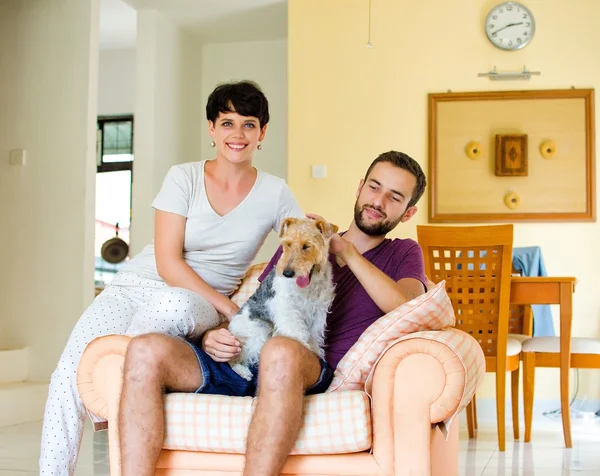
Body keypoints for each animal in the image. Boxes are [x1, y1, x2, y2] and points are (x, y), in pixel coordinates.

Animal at [227, 218, 338, 382]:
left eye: (307, 245)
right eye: (288, 244)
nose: (287, 273)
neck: (308, 287)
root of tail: (232, 327)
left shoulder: (318, 312)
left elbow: (314, 337)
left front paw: (316, 353)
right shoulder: (287, 309)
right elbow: (298, 333)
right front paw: (307, 350)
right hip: (259, 332)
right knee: (234, 358)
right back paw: (243, 372)